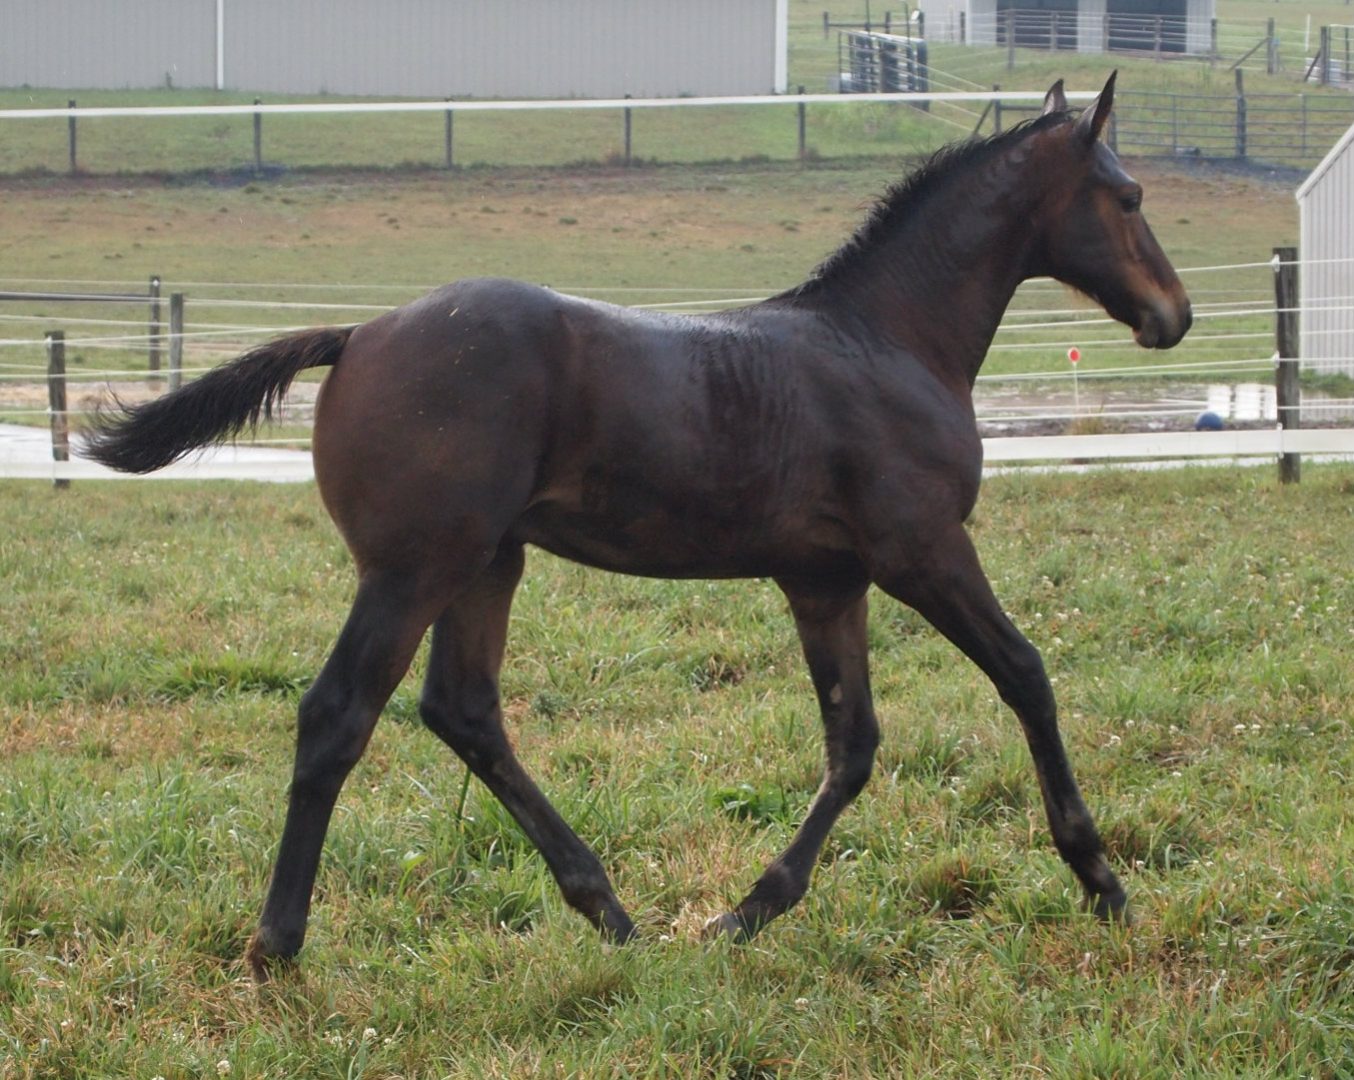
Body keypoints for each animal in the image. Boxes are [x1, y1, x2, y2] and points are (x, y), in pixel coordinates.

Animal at [85, 74, 1191, 980]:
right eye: (1129, 197)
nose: (1172, 314)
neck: (886, 341)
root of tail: (358, 335)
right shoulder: (920, 551)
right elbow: (1026, 675)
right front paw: (1100, 879)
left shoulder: (824, 579)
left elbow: (854, 745)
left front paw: (746, 912)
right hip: (413, 568)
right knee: (338, 716)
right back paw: (277, 943)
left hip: (487, 563)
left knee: (463, 710)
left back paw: (608, 910)